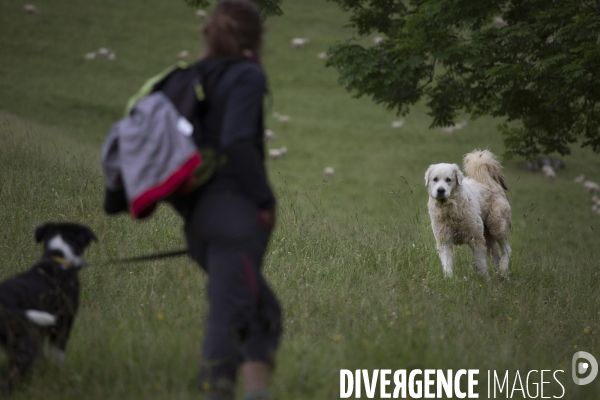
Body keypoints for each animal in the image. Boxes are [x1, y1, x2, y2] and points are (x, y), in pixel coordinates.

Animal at [424, 149, 512, 278]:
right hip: (487, 237)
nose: (440, 190)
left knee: (507, 250)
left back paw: (504, 269)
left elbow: (481, 264)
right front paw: (448, 280)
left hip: (497, 226)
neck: (450, 210)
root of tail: (490, 182)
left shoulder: (476, 239)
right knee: (496, 257)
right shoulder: (444, 240)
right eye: (435, 179)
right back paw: (501, 276)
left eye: (448, 179)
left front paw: (485, 280)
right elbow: (447, 265)